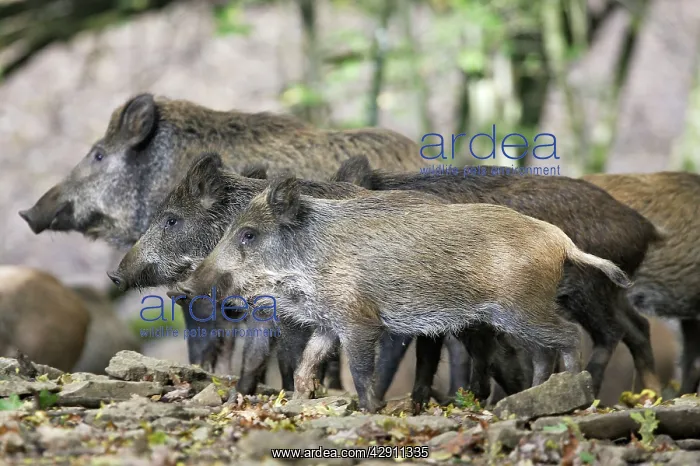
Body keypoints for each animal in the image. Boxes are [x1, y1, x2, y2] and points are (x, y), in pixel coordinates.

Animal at [183, 176, 634, 412]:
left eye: (248, 234)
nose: (188, 285)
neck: (311, 259)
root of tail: (562, 242)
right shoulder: (330, 322)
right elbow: (306, 364)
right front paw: (303, 399)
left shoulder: (359, 320)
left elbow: (361, 369)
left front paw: (369, 409)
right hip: (518, 314)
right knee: (542, 351)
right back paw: (528, 396)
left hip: (522, 308)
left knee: (568, 336)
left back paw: (572, 390)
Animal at [329, 155, 665, 400]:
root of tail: (644, 227)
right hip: (610, 292)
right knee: (637, 327)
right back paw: (650, 396)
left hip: (588, 291)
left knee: (609, 332)